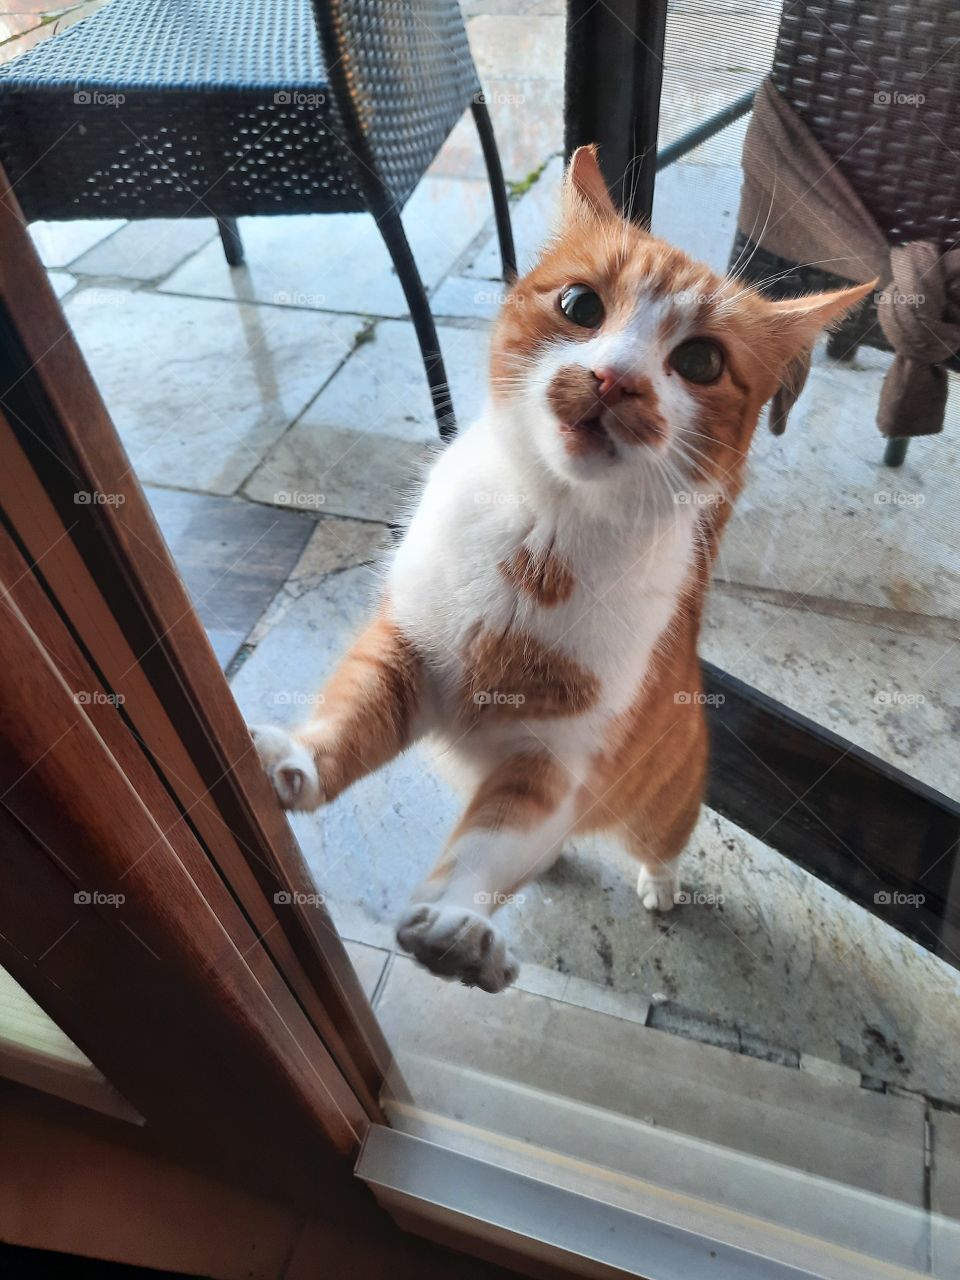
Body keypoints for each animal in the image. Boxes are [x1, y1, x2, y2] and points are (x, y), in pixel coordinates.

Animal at [249, 145, 870, 993]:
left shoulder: (555, 762)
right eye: (581, 305)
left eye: (700, 360)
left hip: (659, 804)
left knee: (661, 841)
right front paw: (297, 764)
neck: (543, 537)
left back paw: (660, 884)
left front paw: (455, 927)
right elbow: (351, 716)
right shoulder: (403, 650)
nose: (615, 378)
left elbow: (492, 845)